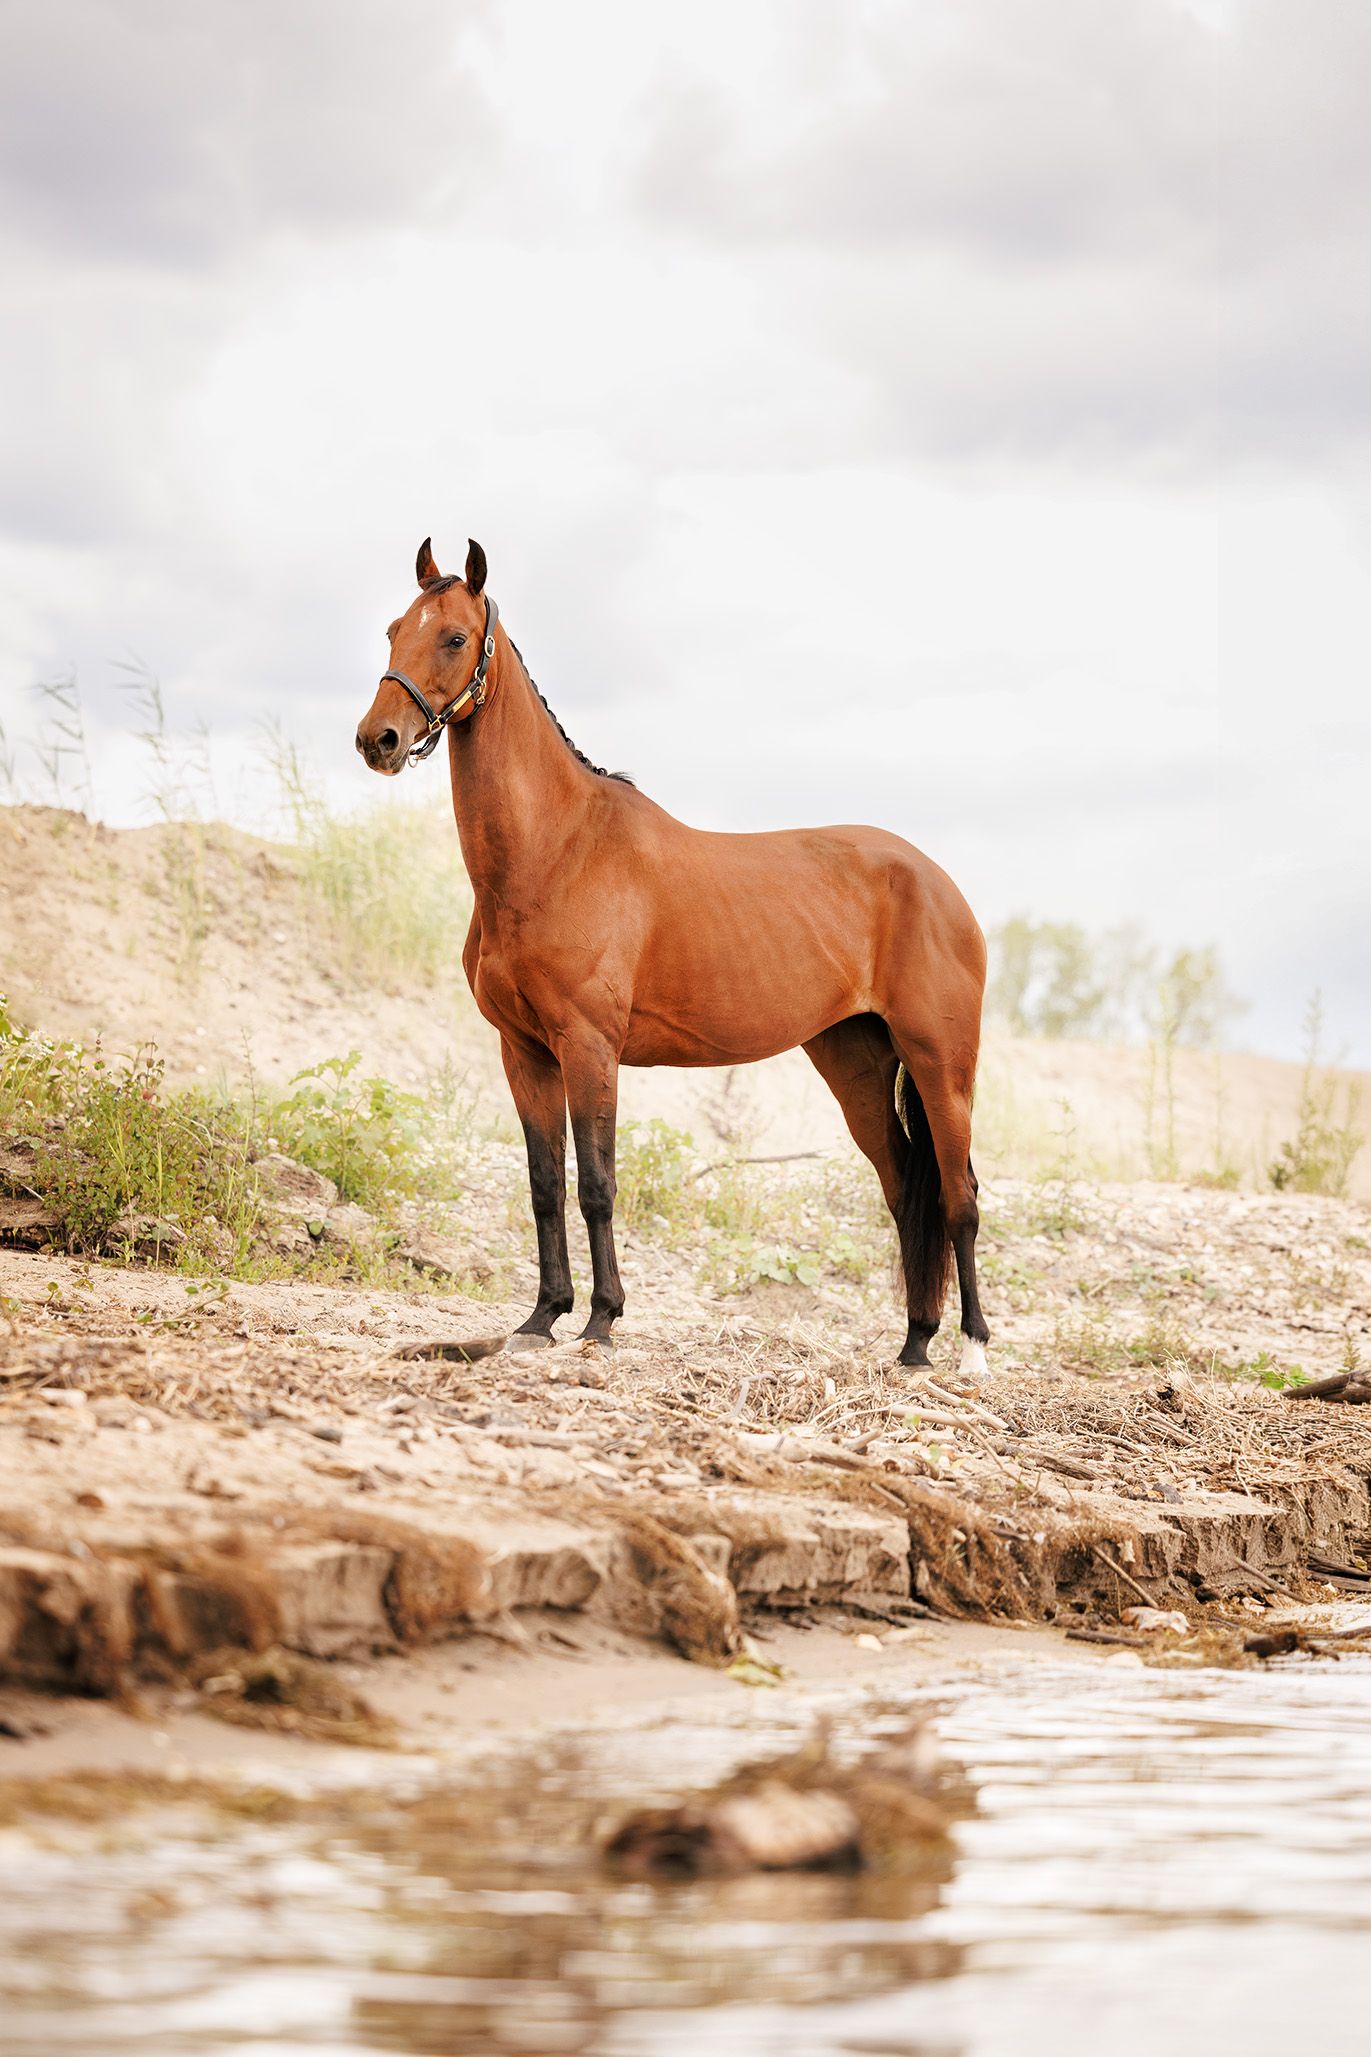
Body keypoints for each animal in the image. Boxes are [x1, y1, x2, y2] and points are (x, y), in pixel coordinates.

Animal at [356, 538, 990, 1374]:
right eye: (393, 629)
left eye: (454, 637)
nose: (379, 740)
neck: (558, 850)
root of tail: (941, 884)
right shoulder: (524, 1051)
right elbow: (544, 1184)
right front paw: (540, 1317)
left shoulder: (589, 1046)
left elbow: (596, 1183)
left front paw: (600, 1319)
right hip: (855, 1063)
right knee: (901, 1191)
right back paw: (914, 1345)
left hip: (940, 1064)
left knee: (957, 1194)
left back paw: (973, 1350)